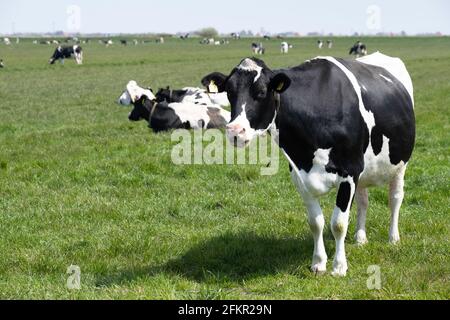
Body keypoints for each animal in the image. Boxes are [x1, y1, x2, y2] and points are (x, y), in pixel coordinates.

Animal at [202, 52, 416, 276]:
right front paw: (319, 263)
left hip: (400, 165)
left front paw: (339, 267)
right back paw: (360, 238)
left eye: (261, 92)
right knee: (363, 201)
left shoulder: (349, 172)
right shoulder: (301, 176)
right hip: (364, 171)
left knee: (395, 198)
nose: (235, 131)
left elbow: (339, 223)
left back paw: (393, 238)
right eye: (229, 92)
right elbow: (316, 222)